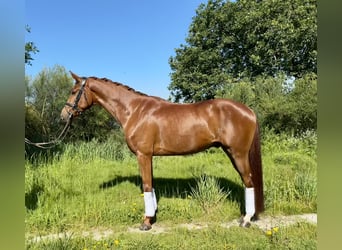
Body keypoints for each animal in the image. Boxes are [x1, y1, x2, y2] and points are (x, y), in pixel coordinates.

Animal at [60, 72, 264, 230]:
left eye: (73, 92)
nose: (63, 115)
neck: (134, 110)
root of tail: (249, 111)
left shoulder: (143, 155)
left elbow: (146, 185)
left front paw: (146, 222)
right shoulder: (148, 156)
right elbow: (151, 184)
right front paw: (153, 215)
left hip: (238, 154)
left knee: (248, 181)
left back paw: (246, 220)